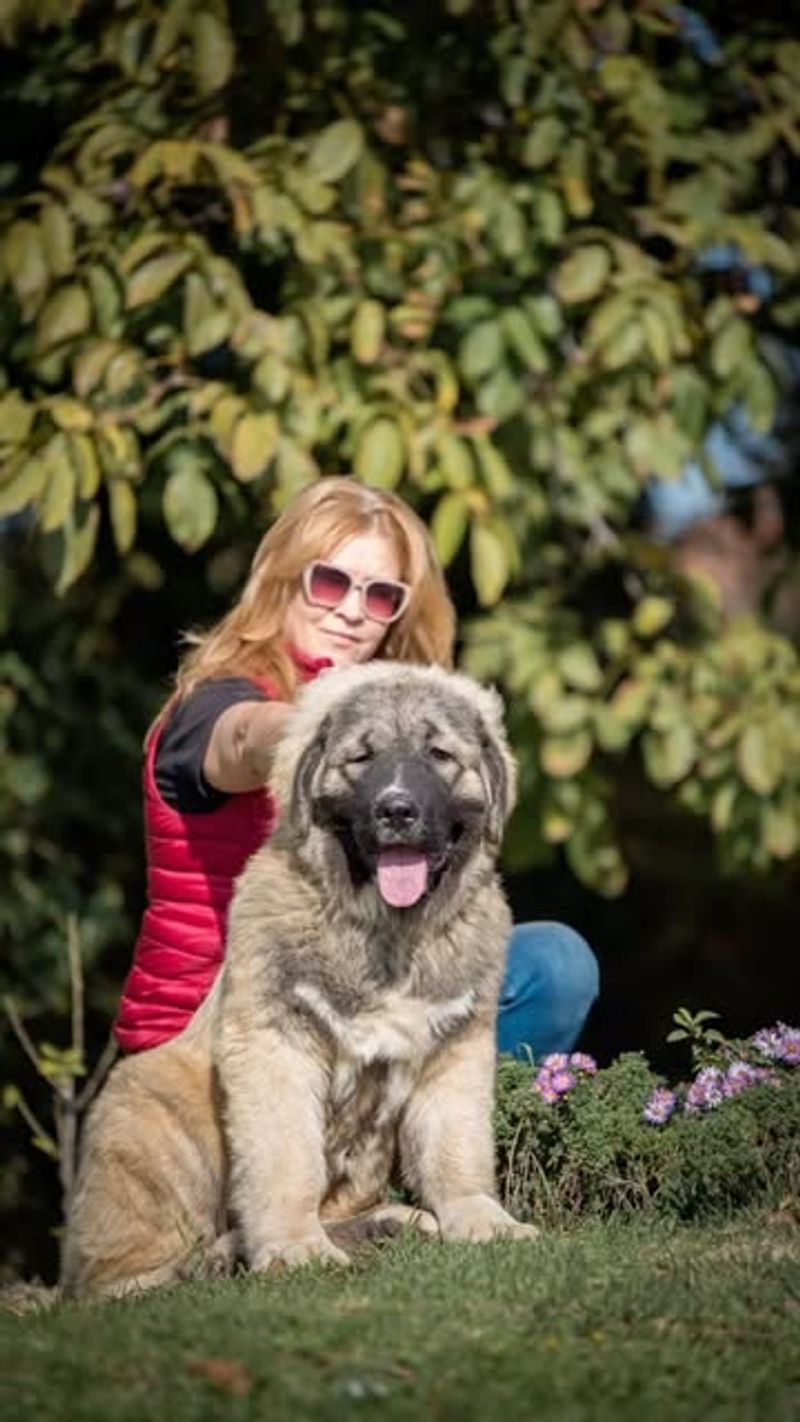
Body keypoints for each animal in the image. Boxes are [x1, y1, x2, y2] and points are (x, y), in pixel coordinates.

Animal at [62, 659, 537, 1296]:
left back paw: (386, 1224)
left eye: (439, 754)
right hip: (146, 1108)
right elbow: (286, 1158)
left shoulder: (457, 1046)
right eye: (361, 757)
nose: (396, 810)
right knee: (114, 1275)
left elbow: (457, 1146)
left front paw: (482, 1218)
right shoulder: (276, 1043)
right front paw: (293, 1248)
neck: (388, 933)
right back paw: (211, 1259)